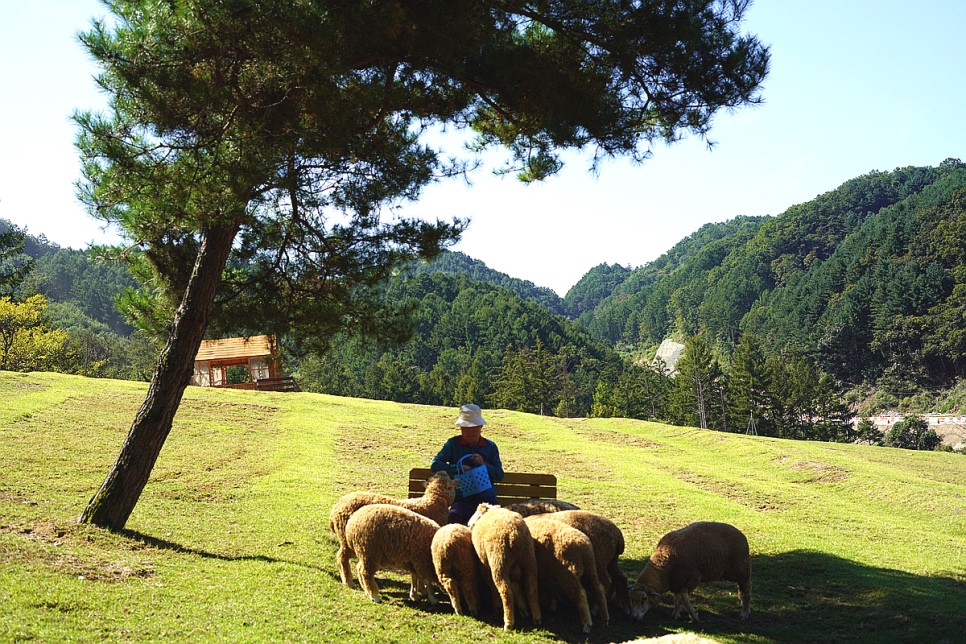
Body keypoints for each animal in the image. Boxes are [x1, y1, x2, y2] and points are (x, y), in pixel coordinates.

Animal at [628, 520, 756, 620]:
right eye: (631, 599)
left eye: (644, 598)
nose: (634, 617)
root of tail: (741, 534)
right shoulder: (677, 580)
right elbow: (677, 597)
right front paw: (676, 613)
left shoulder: (695, 577)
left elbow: (683, 595)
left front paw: (693, 615)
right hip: (730, 572)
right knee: (741, 587)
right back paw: (745, 606)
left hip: (741, 568)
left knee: (747, 586)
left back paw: (745, 612)